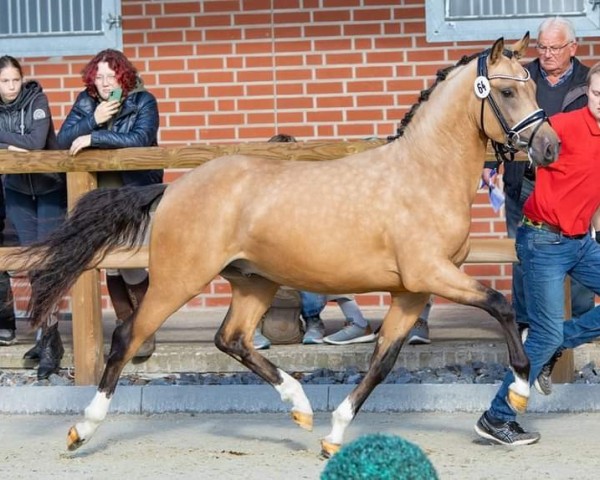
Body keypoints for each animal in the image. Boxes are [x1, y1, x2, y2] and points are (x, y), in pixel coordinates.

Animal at [19, 32, 564, 454]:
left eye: (533, 84)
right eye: (508, 91)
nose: (550, 147)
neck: (423, 174)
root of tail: (173, 189)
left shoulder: (412, 290)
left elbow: (382, 360)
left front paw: (334, 435)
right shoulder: (432, 273)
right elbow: (500, 305)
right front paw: (521, 388)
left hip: (253, 282)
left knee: (231, 339)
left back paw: (300, 407)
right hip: (178, 279)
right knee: (128, 338)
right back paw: (81, 430)